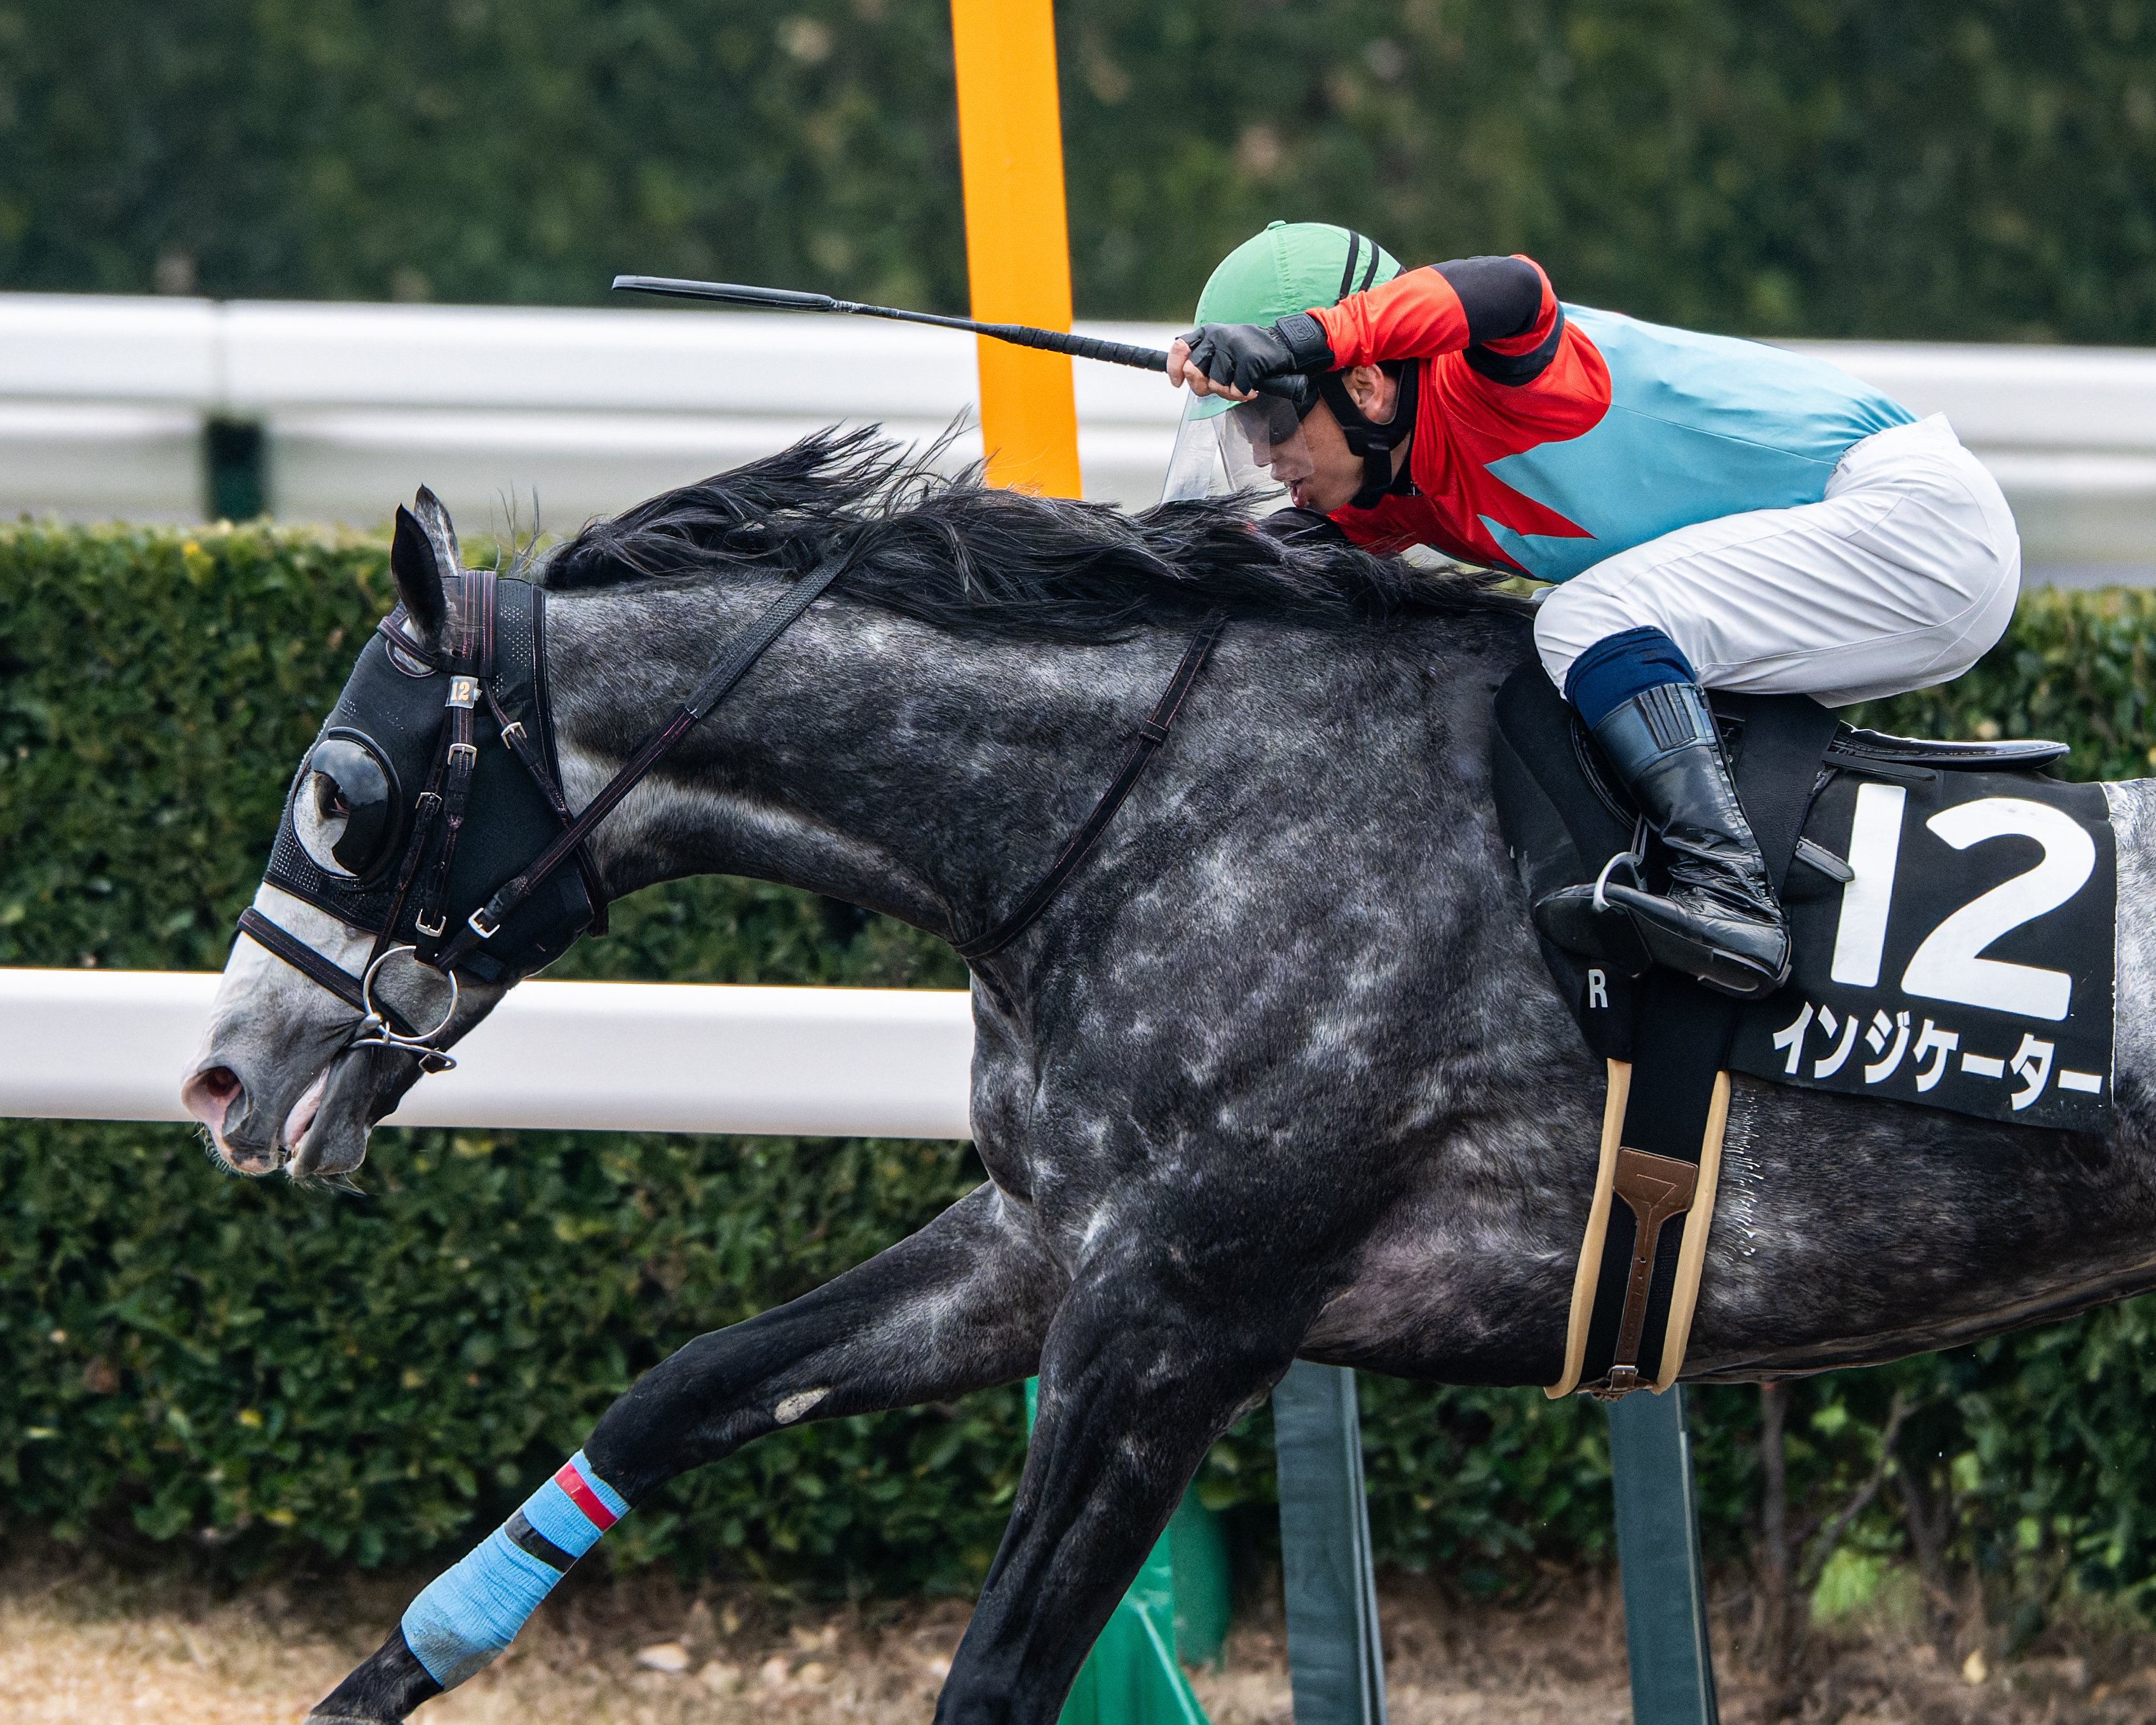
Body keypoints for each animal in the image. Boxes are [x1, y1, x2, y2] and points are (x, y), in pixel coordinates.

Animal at [180, 429, 2156, 1724]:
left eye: (341, 793)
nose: (218, 1075)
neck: (1144, 809)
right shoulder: (1046, 1241)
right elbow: (682, 1390)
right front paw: (378, 1680)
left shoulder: (1181, 1318)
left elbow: (994, 1677)